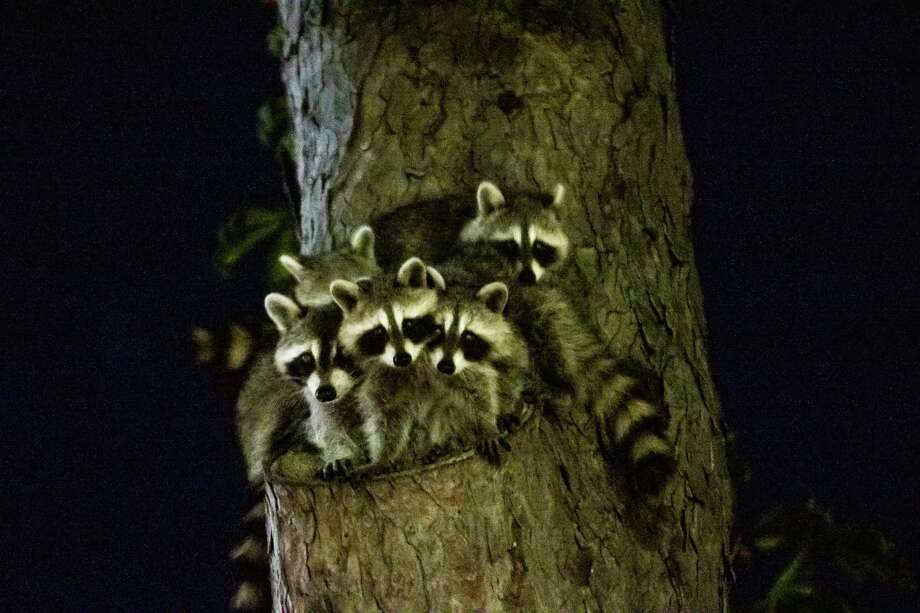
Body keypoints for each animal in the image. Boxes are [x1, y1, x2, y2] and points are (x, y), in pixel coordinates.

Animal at [330, 257, 443, 468]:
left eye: (408, 323)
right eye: (379, 332)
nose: (402, 358)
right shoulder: (382, 373)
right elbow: (388, 414)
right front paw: (384, 456)